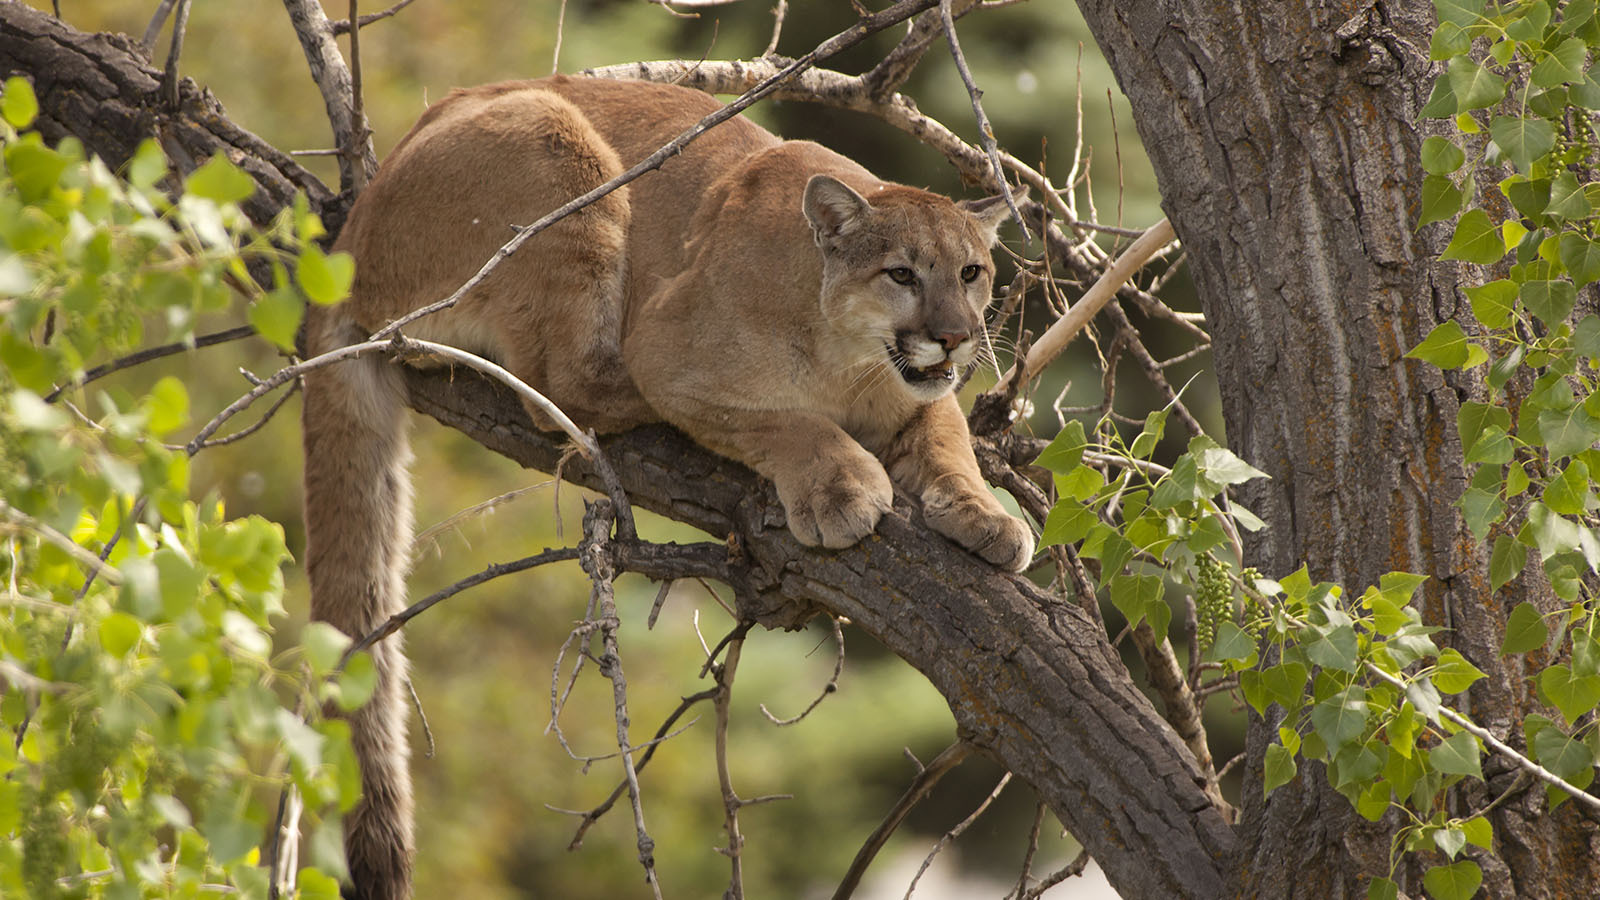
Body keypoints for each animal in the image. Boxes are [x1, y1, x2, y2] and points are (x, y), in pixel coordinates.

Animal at [302, 75, 1036, 896]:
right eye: (901, 274)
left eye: (972, 272)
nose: (955, 335)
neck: (851, 358)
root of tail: (349, 237)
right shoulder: (673, 354)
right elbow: (784, 420)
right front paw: (841, 488)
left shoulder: (924, 396)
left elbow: (951, 443)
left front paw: (986, 517)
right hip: (557, 154)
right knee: (558, 389)